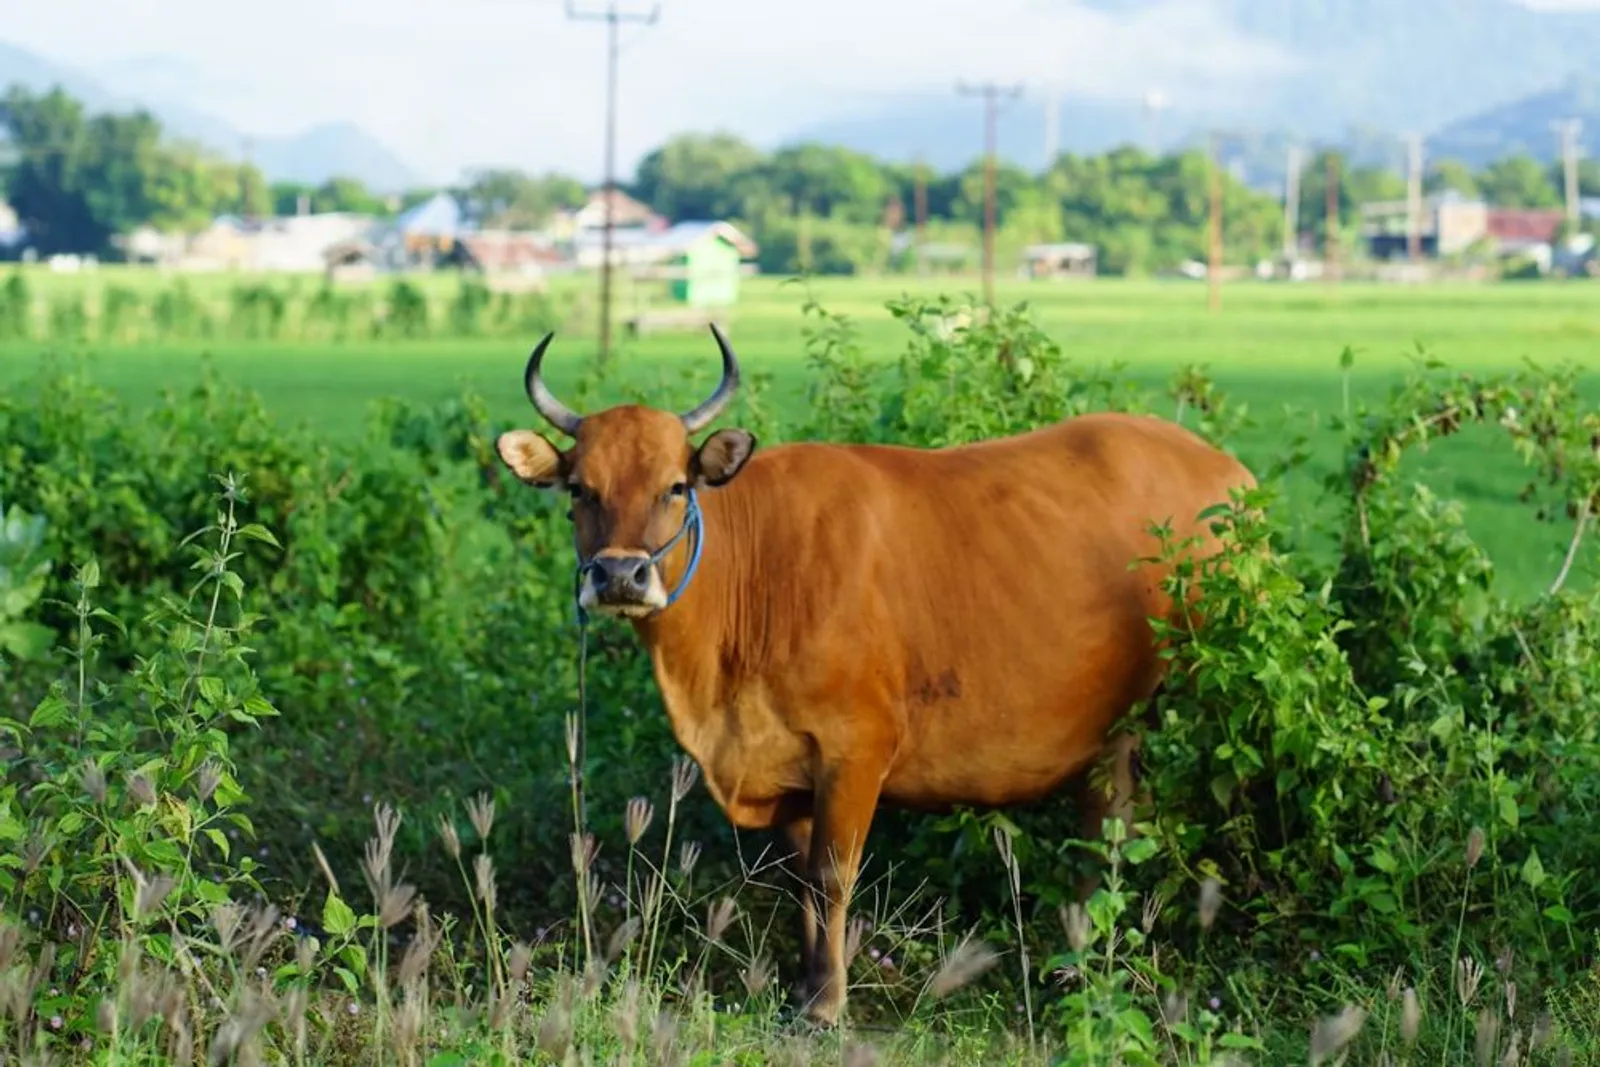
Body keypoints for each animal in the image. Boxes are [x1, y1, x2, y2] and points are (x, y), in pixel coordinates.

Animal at [492, 326, 1254, 1023]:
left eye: (675, 486)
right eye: (579, 489)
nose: (620, 575)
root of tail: (1226, 471)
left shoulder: (856, 747)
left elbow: (832, 875)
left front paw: (827, 1004)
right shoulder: (787, 766)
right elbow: (800, 880)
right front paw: (804, 986)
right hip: (1115, 734)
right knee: (1107, 828)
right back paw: (1080, 964)